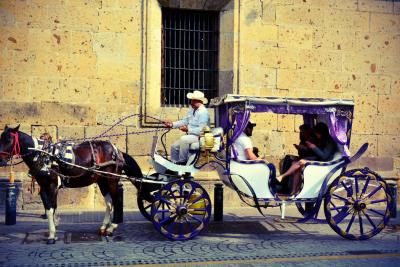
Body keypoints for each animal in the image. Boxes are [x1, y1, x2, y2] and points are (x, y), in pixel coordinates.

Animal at [0, 125, 144, 245]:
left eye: (8, 140)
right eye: (1, 138)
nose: (1, 160)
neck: (42, 154)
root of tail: (118, 152)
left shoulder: (52, 186)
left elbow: (50, 209)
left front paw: (52, 236)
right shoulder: (44, 187)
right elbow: (50, 209)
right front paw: (53, 230)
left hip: (111, 180)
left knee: (117, 200)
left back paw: (112, 228)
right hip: (102, 181)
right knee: (109, 203)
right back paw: (104, 227)